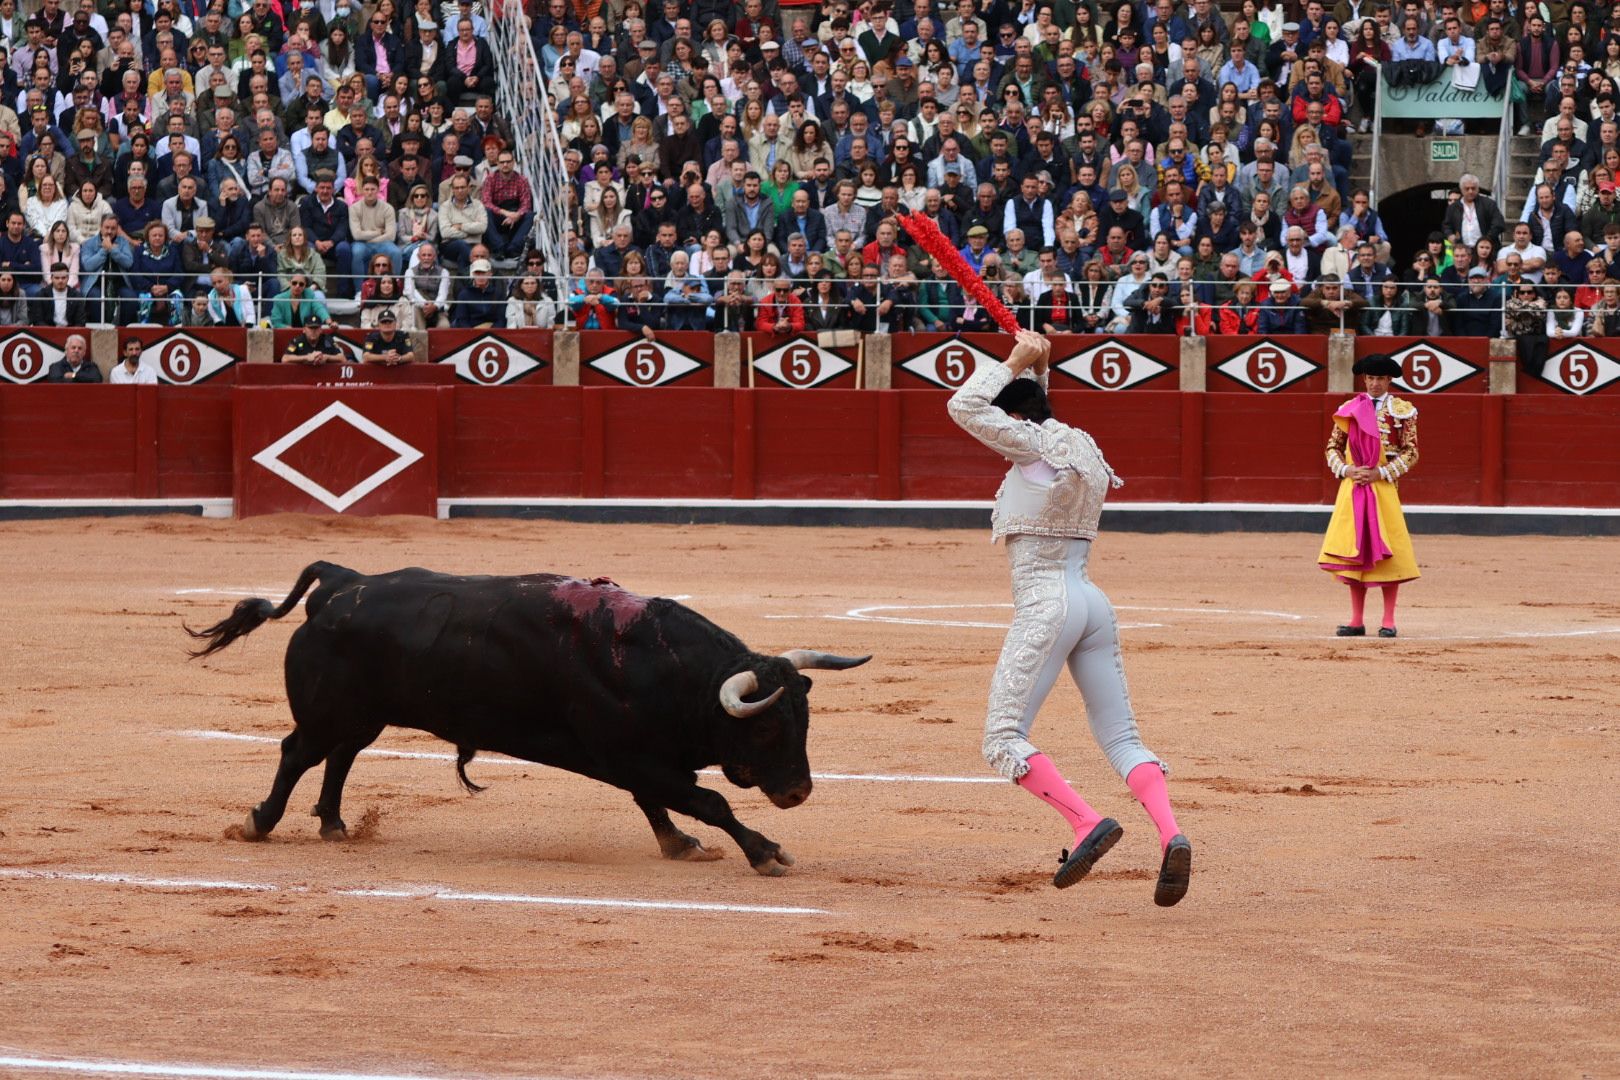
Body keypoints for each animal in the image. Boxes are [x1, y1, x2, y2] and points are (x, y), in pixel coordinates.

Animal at [186, 566, 874, 880]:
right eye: (765, 728)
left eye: (805, 721)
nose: (798, 792)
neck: (668, 668)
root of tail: (340, 585)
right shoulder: (628, 754)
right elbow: (707, 801)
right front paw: (766, 852)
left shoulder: (632, 758)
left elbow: (657, 802)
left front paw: (678, 844)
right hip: (330, 710)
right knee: (297, 752)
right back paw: (259, 823)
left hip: (364, 717)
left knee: (339, 757)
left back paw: (333, 825)